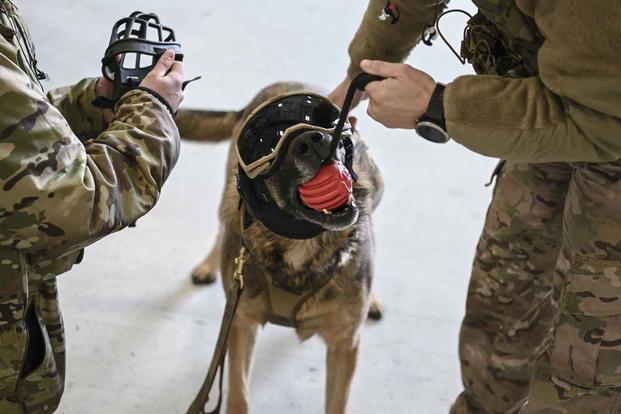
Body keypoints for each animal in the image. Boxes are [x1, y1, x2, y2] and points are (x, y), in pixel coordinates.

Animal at [174, 81, 386, 414]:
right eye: (270, 145)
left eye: (325, 123)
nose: (314, 140)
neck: (300, 247)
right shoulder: (241, 325)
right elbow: (239, 396)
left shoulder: (344, 345)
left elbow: (336, 403)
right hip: (228, 196)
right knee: (223, 221)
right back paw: (208, 265)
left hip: (378, 187)